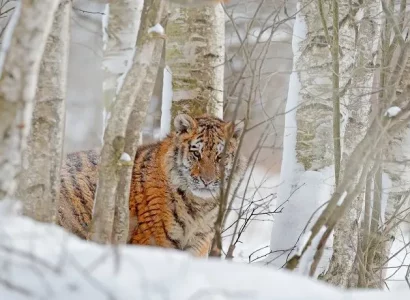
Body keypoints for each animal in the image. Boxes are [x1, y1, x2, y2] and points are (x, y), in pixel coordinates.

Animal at [57, 113, 243, 256]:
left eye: (220, 157)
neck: (200, 206)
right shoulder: (154, 240)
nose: (207, 180)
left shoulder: (198, 243)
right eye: (196, 154)